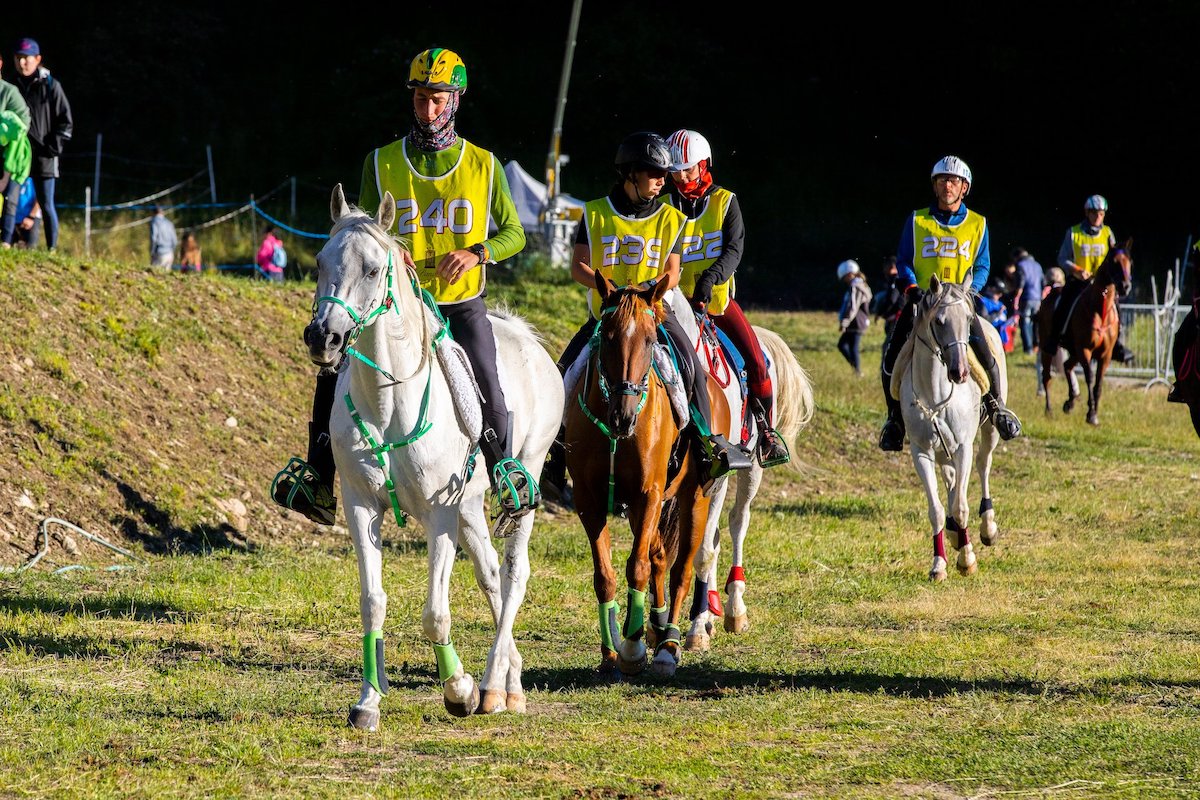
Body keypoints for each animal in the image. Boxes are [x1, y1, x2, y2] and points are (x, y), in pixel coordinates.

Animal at [302, 184, 559, 729]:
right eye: (319, 261)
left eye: (372, 270)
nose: (323, 338)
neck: (388, 401)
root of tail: (526, 337)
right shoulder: (361, 506)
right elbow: (372, 602)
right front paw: (368, 702)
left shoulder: (439, 512)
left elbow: (435, 613)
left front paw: (458, 689)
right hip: (471, 506)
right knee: (490, 575)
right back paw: (510, 683)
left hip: (525, 476)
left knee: (514, 574)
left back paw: (490, 685)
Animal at [561, 272, 720, 681]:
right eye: (607, 336)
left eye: (650, 340)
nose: (623, 417)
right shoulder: (589, 500)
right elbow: (605, 576)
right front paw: (610, 655)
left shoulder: (649, 494)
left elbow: (637, 567)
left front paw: (632, 651)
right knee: (661, 557)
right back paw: (658, 626)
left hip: (695, 498)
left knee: (681, 569)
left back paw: (668, 648)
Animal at [662, 291, 820, 652]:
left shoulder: (715, 479)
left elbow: (703, 551)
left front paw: (694, 631)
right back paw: (710, 611)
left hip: (753, 469)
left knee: (737, 523)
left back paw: (733, 610)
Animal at [902, 277, 1003, 582]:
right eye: (939, 321)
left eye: (968, 319)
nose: (960, 372)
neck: (935, 395)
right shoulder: (921, 451)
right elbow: (936, 508)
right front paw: (939, 565)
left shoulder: (962, 448)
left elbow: (960, 505)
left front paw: (967, 560)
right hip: (940, 450)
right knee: (950, 480)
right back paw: (955, 535)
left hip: (989, 433)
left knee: (983, 465)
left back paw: (987, 528)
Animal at [1036, 237, 1128, 424]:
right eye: (1113, 262)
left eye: (1129, 262)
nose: (1125, 286)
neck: (1099, 311)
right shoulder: (1085, 350)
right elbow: (1090, 377)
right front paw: (1091, 413)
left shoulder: (1105, 355)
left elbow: (1099, 383)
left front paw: (1094, 413)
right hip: (1049, 348)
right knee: (1047, 376)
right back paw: (1049, 410)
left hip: (1074, 351)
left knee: (1066, 366)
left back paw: (1070, 401)